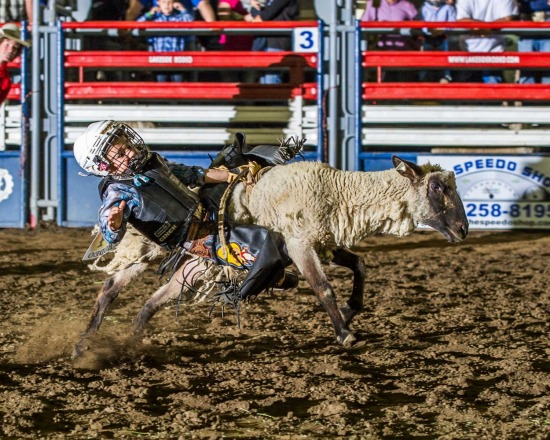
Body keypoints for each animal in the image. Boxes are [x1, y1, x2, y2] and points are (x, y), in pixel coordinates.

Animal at [74, 156, 470, 356]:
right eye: (438, 187)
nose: (464, 229)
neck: (337, 190)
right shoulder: (299, 244)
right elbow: (324, 288)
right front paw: (345, 333)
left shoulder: (321, 240)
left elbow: (359, 265)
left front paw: (351, 309)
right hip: (144, 247)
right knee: (110, 288)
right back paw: (86, 343)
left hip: (194, 263)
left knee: (152, 301)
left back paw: (130, 340)